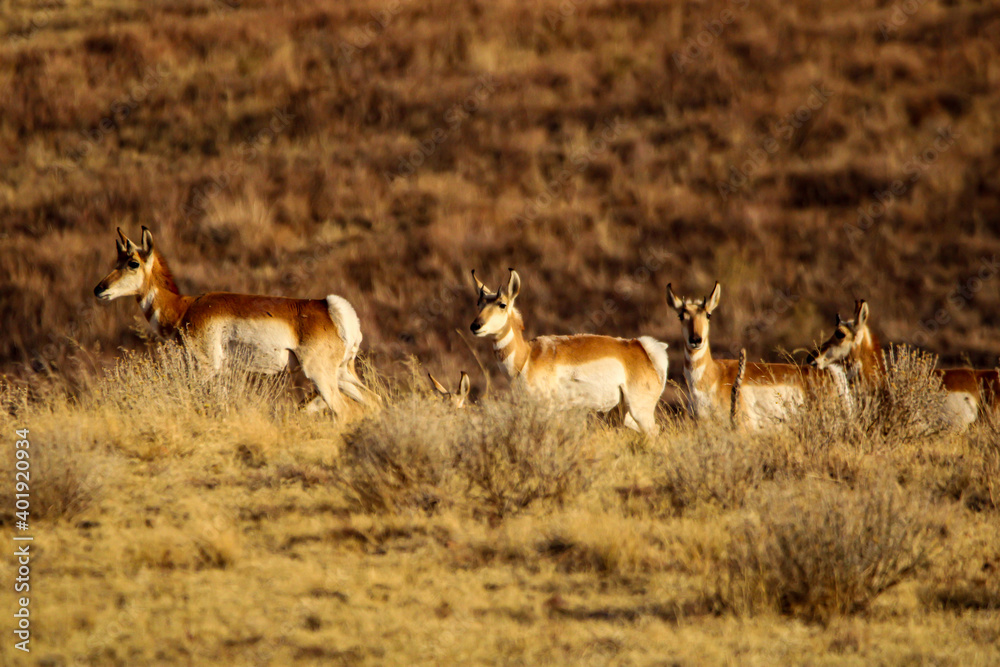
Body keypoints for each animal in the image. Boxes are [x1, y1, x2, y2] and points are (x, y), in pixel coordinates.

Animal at [94, 227, 372, 417]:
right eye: (116, 261)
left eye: (133, 263)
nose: (99, 289)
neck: (185, 307)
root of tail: (328, 306)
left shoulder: (205, 368)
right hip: (343, 374)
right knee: (374, 401)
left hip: (320, 375)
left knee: (346, 412)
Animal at [469, 268, 669, 434]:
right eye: (478, 303)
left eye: (502, 304)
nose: (475, 326)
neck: (527, 357)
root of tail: (641, 348)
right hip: (625, 415)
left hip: (640, 412)